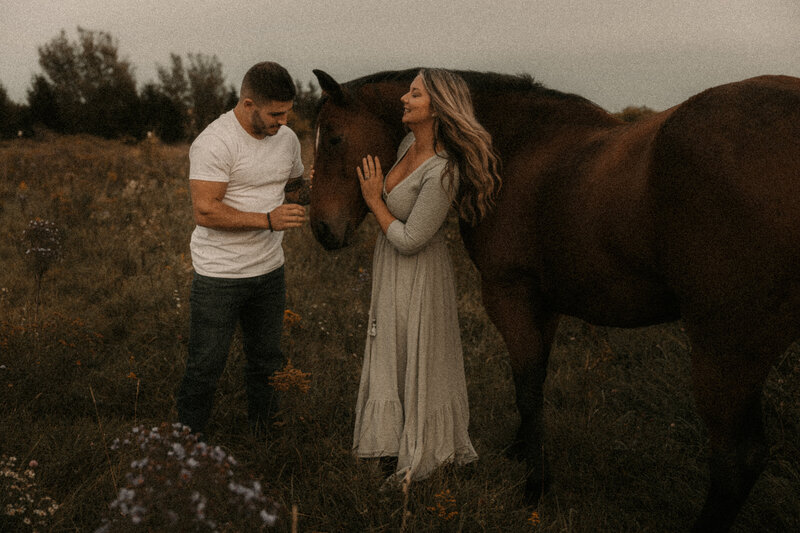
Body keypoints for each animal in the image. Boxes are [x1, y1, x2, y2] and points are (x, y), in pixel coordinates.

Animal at [306, 68, 800, 528]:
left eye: (332, 136)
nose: (321, 230)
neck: (510, 147)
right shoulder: (546, 304)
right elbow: (535, 381)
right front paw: (520, 453)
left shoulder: (510, 293)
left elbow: (527, 386)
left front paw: (535, 487)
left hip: (725, 348)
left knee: (738, 459)